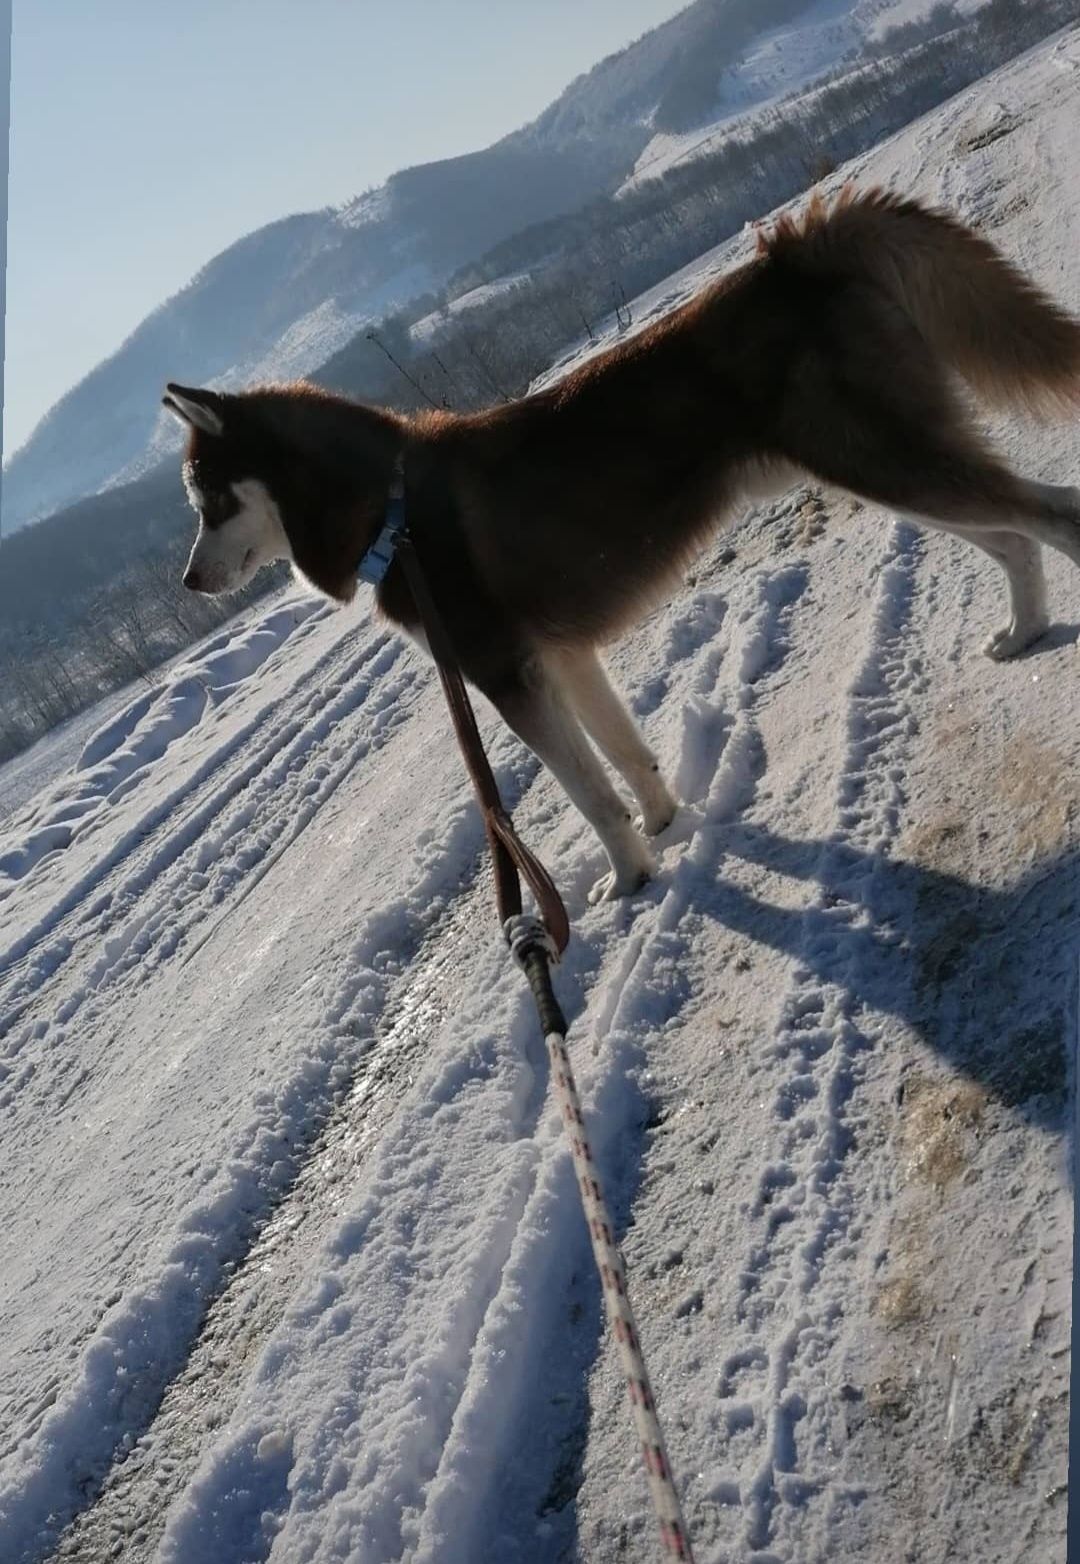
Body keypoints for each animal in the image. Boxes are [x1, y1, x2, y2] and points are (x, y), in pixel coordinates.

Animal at [164, 193, 1080, 900]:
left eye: (209, 501)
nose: (189, 582)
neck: (394, 506)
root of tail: (790, 255)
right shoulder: (563, 660)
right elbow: (627, 759)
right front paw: (664, 823)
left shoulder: (507, 678)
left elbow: (590, 795)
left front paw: (631, 876)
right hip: (885, 467)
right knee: (1013, 538)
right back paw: (1025, 628)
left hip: (887, 462)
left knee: (1054, 512)